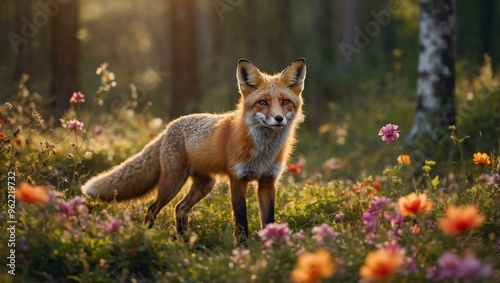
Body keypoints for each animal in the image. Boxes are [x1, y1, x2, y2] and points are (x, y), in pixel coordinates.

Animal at [82, 58, 306, 239]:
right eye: (263, 102)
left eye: (285, 102)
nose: (279, 119)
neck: (263, 153)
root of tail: (169, 126)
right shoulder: (238, 179)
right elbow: (241, 222)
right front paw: (244, 248)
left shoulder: (268, 181)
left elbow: (268, 220)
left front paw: (272, 246)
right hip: (172, 183)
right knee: (152, 209)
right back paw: (149, 236)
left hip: (205, 185)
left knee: (180, 208)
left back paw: (184, 241)